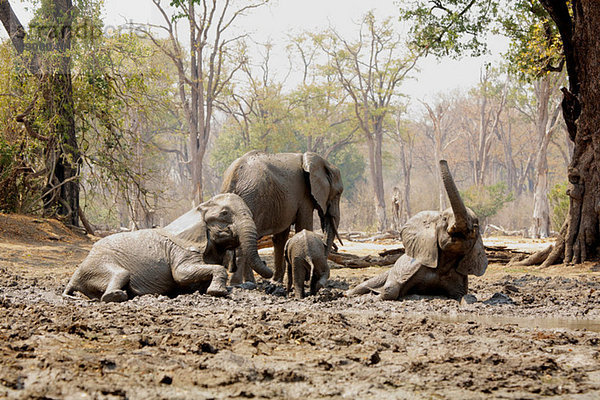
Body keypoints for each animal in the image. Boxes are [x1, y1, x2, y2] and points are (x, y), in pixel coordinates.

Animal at [62, 192, 270, 302]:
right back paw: (116, 296)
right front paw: (218, 292)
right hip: (98, 264)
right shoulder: (182, 251)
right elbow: (181, 275)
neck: (197, 210)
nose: (268, 265)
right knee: (121, 274)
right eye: (225, 213)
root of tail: (74, 278)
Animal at [221, 150, 344, 284]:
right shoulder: (304, 196)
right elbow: (303, 226)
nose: (337, 249)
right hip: (253, 201)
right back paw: (242, 282)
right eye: (338, 193)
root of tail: (234, 177)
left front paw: (276, 281)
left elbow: (280, 238)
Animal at [346, 161, 488, 302]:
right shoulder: (410, 266)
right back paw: (347, 293)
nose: (442, 161)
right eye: (444, 219)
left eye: (476, 226)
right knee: (366, 284)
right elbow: (391, 288)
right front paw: (373, 297)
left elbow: (465, 295)